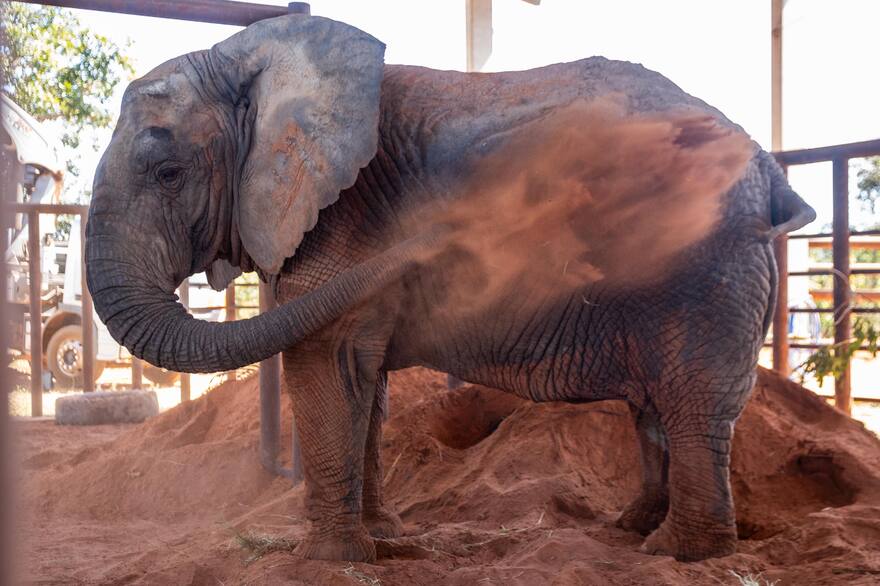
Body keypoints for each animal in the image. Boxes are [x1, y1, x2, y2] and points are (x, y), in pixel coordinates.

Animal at [85, 14, 816, 563]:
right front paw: (382, 539)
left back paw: (677, 551)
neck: (257, 59)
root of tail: (768, 169)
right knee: (659, 408)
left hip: (703, 272)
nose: (451, 233)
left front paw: (326, 560)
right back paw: (630, 529)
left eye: (168, 173)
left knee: (690, 401)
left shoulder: (341, 220)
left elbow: (326, 366)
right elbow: (363, 383)